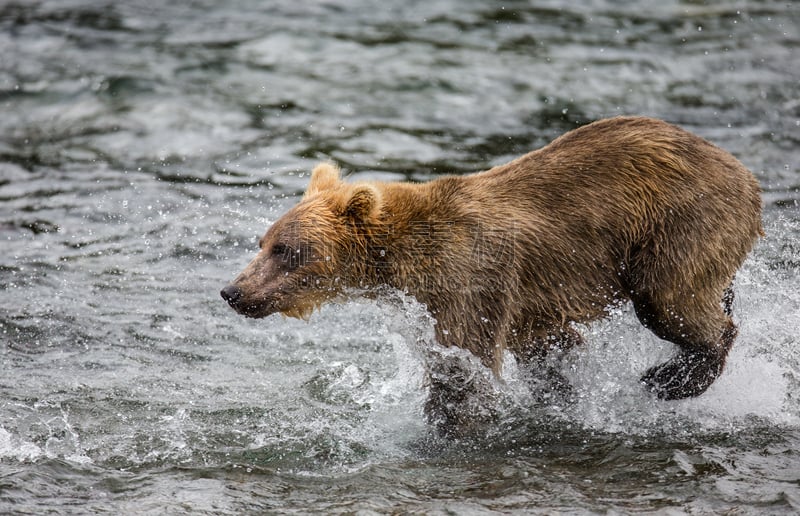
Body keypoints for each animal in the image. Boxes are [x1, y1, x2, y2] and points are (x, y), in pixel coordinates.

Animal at [220, 116, 764, 432]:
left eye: (287, 250)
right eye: (263, 242)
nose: (232, 290)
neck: (400, 264)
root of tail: (744, 172)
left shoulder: (470, 279)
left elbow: (463, 367)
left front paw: (448, 424)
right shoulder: (527, 306)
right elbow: (549, 350)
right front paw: (560, 399)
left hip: (679, 224)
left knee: (672, 303)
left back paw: (669, 379)